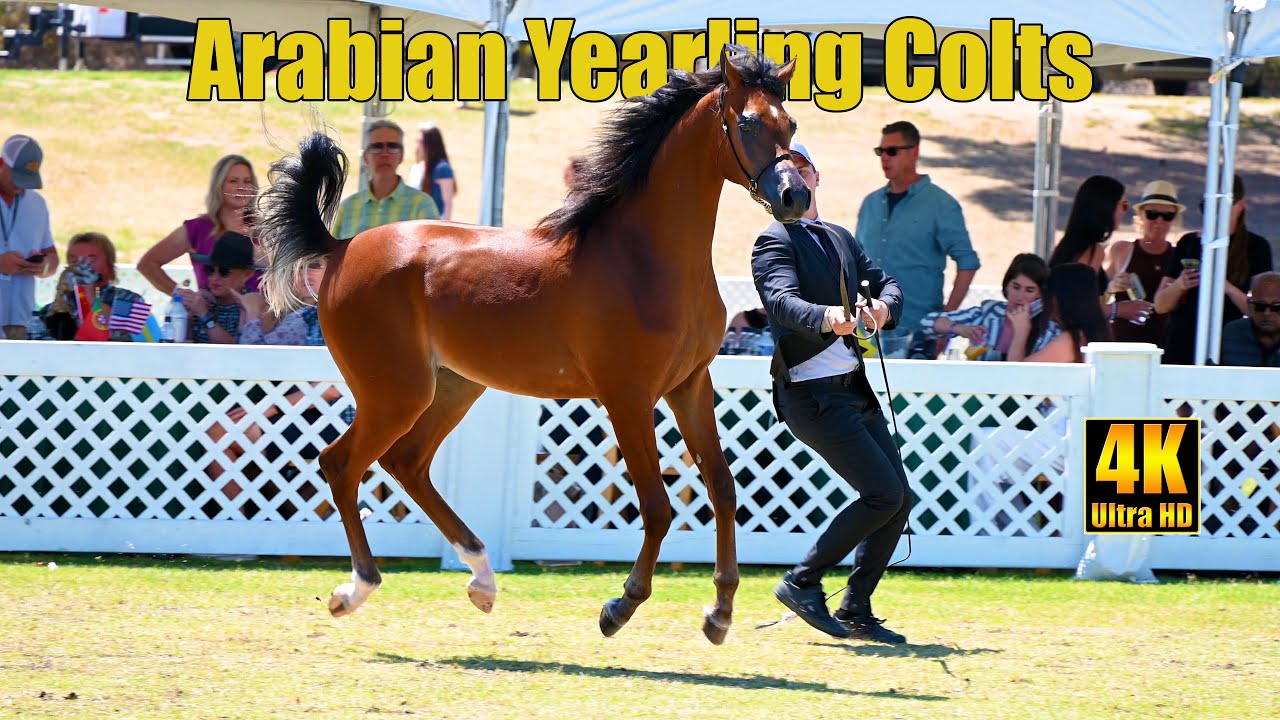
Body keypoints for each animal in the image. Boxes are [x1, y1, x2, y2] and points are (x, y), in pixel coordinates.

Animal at [256, 45, 807, 645]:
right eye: (747, 123)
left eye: (791, 124)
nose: (795, 196)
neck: (645, 260)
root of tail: (340, 249)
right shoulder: (627, 396)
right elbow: (657, 506)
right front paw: (621, 606)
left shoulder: (690, 386)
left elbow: (724, 490)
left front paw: (720, 612)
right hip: (395, 393)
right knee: (341, 464)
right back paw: (356, 589)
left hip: (452, 388)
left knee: (407, 463)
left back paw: (482, 580)